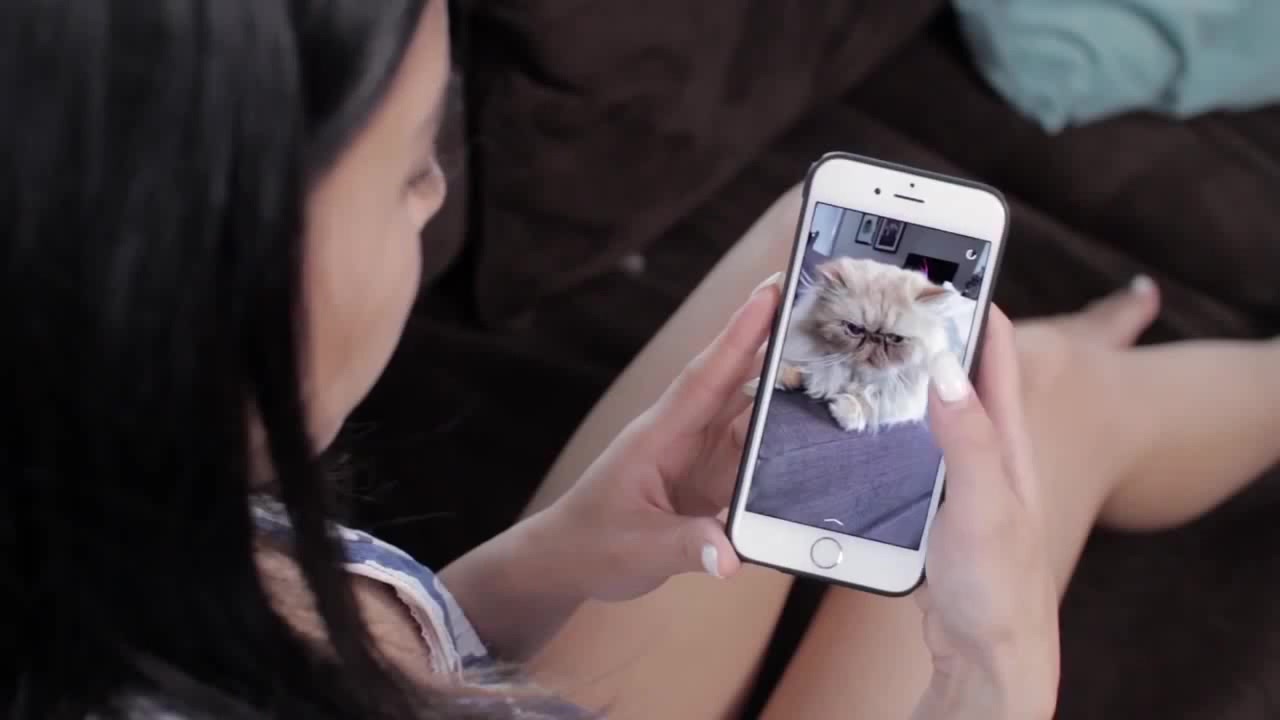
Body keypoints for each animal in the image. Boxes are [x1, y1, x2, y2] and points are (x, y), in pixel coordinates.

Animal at [746, 257, 953, 433]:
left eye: (895, 339)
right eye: (854, 329)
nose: (874, 339)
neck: (853, 375)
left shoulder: (904, 400)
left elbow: (871, 399)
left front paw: (845, 411)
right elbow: (791, 368)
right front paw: (772, 382)